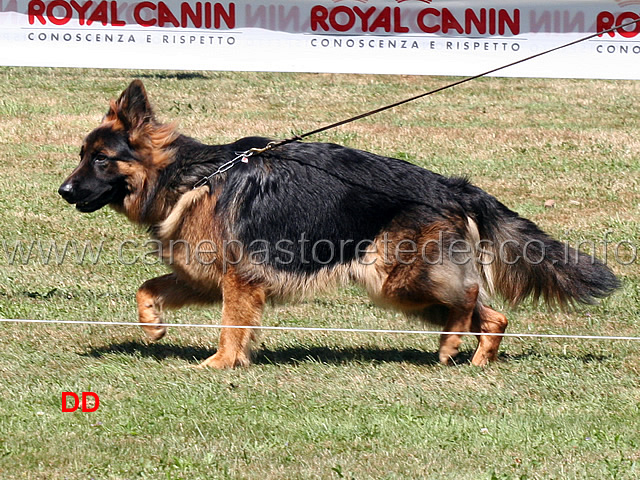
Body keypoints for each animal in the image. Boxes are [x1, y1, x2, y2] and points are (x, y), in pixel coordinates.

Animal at [60, 80, 620, 370]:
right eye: (82, 155)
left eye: (101, 159)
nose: (62, 191)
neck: (193, 176)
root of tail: (454, 186)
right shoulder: (204, 278)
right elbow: (147, 288)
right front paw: (153, 327)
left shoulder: (239, 281)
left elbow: (230, 326)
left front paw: (220, 366)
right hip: (409, 287)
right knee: (494, 314)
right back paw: (474, 360)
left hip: (395, 281)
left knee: (466, 301)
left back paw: (452, 346)